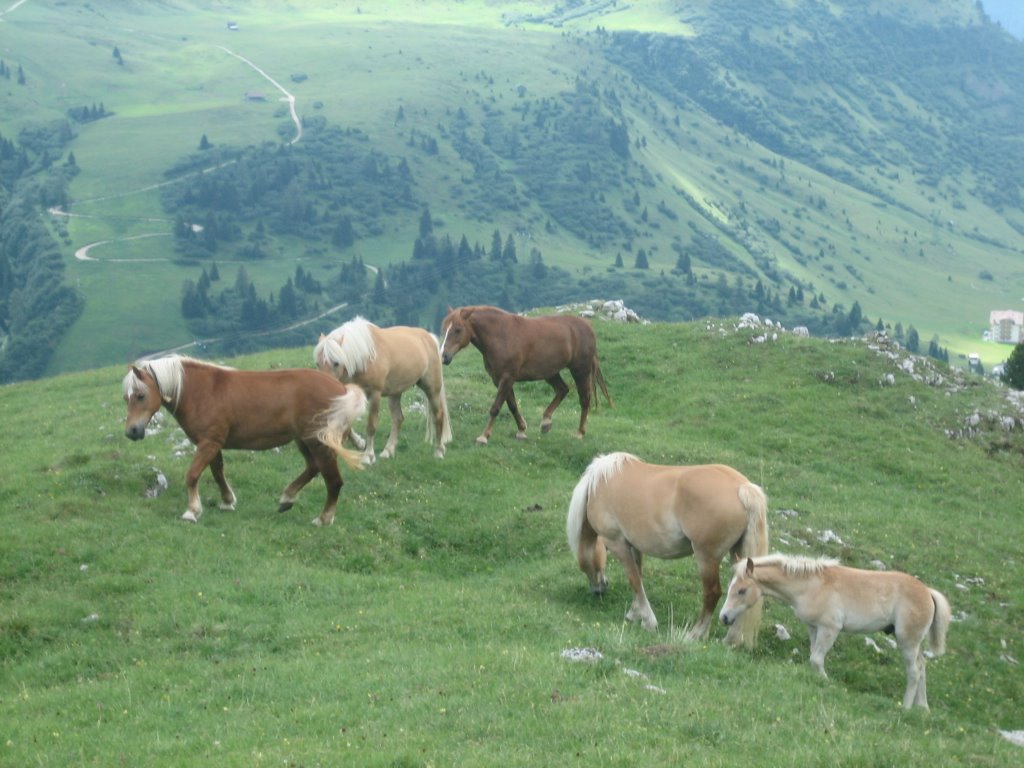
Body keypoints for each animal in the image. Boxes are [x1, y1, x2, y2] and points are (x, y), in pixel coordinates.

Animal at [122, 356, 368, 528]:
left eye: (141, 396)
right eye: (126, 398)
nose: (132, 432)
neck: (202, 391)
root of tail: (342, 389)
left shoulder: (209, 443)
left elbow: (192, 475)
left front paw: (192, 511)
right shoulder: (213, 443)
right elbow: (218, 473)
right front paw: (227, 501)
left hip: (318, 443)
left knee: (334, 481)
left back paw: (323, 518)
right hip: (305, 441)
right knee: (313, 468)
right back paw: (287, 498)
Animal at [315, 317, 452, 462]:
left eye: (336, 363)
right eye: (317, 363)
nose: (323, 385)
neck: (365, 358)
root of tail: (429, 337)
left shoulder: (375, 394)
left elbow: (371, 425)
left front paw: (368, 455)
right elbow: (345, 421)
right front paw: (360, 443)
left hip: (432, 389)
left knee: (438, 416)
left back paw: (438, 451)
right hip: (395, 393)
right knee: (398, 419)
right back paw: (388, 451)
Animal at [438, 305, 606, 444]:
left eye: (458, 329)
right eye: (444, 329)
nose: (444, 356)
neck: (501, 335)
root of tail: (588, 326)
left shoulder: (507, 378)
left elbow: (496, 407)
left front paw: (484, 436)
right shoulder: (500, 380)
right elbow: (512, 405)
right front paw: (521, 430)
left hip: (580, 371)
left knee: (584, 399)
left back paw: (580, 432)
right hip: (550, 372)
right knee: (562, 390)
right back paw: (546, 422)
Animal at [569, 450, 770, 651]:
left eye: (583, 565)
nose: (598, 590)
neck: (599, 486)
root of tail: (742, 487)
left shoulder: (618, 544)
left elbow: (634, 579)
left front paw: (648, 621)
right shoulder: (634, 546)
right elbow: (638, 577)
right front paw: (635, 613)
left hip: (706, 558)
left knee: (712, 593)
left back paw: (696, 634)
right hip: (738, 556)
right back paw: (731, 638)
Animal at [720, 552, 950, 708]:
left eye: (742, 590)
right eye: (731, 586)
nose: (724, 617)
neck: (811, 586)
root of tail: (928, 592)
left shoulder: (830, 629)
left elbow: (816, 659)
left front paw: (827, 683)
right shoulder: (814, 628)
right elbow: (813, 658)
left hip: (907, 641)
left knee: (914, 672)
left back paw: (906, 707)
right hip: (913, 643)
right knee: (922, 666)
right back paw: (922, 708)